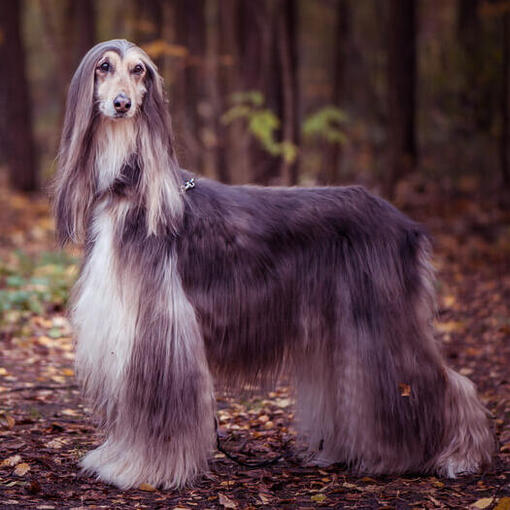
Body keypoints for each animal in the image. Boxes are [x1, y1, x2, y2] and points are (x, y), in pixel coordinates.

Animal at [52, 38, 494, 486]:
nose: (122, 104)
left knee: (442, 380)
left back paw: (458, 455)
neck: (131, 189)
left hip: (383, 319)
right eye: (104, 67)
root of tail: (408, 224)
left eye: (139, 70)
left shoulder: (160, 323)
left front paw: (142, 469)